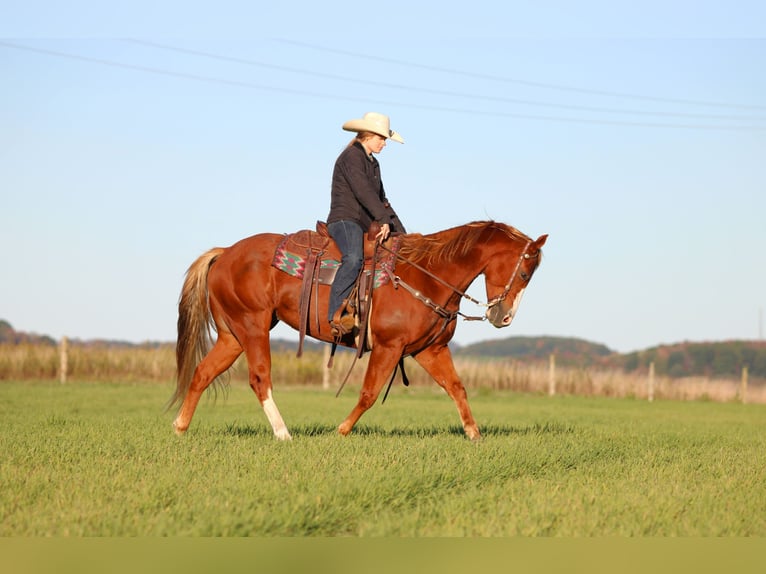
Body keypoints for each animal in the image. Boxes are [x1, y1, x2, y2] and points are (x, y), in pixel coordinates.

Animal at [169, 221, 548, 441]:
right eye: (525, 272)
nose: (503, 317)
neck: (425, 274)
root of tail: (225, 253)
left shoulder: (430, 350)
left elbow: (456, 387)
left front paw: (473, 433)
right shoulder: (388, 347)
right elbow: (368, 393)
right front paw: (342, 429)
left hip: (232, 335)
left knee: (202, 373)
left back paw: (180, 427)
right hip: (252, 327)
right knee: (259, 378)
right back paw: (283, 433)